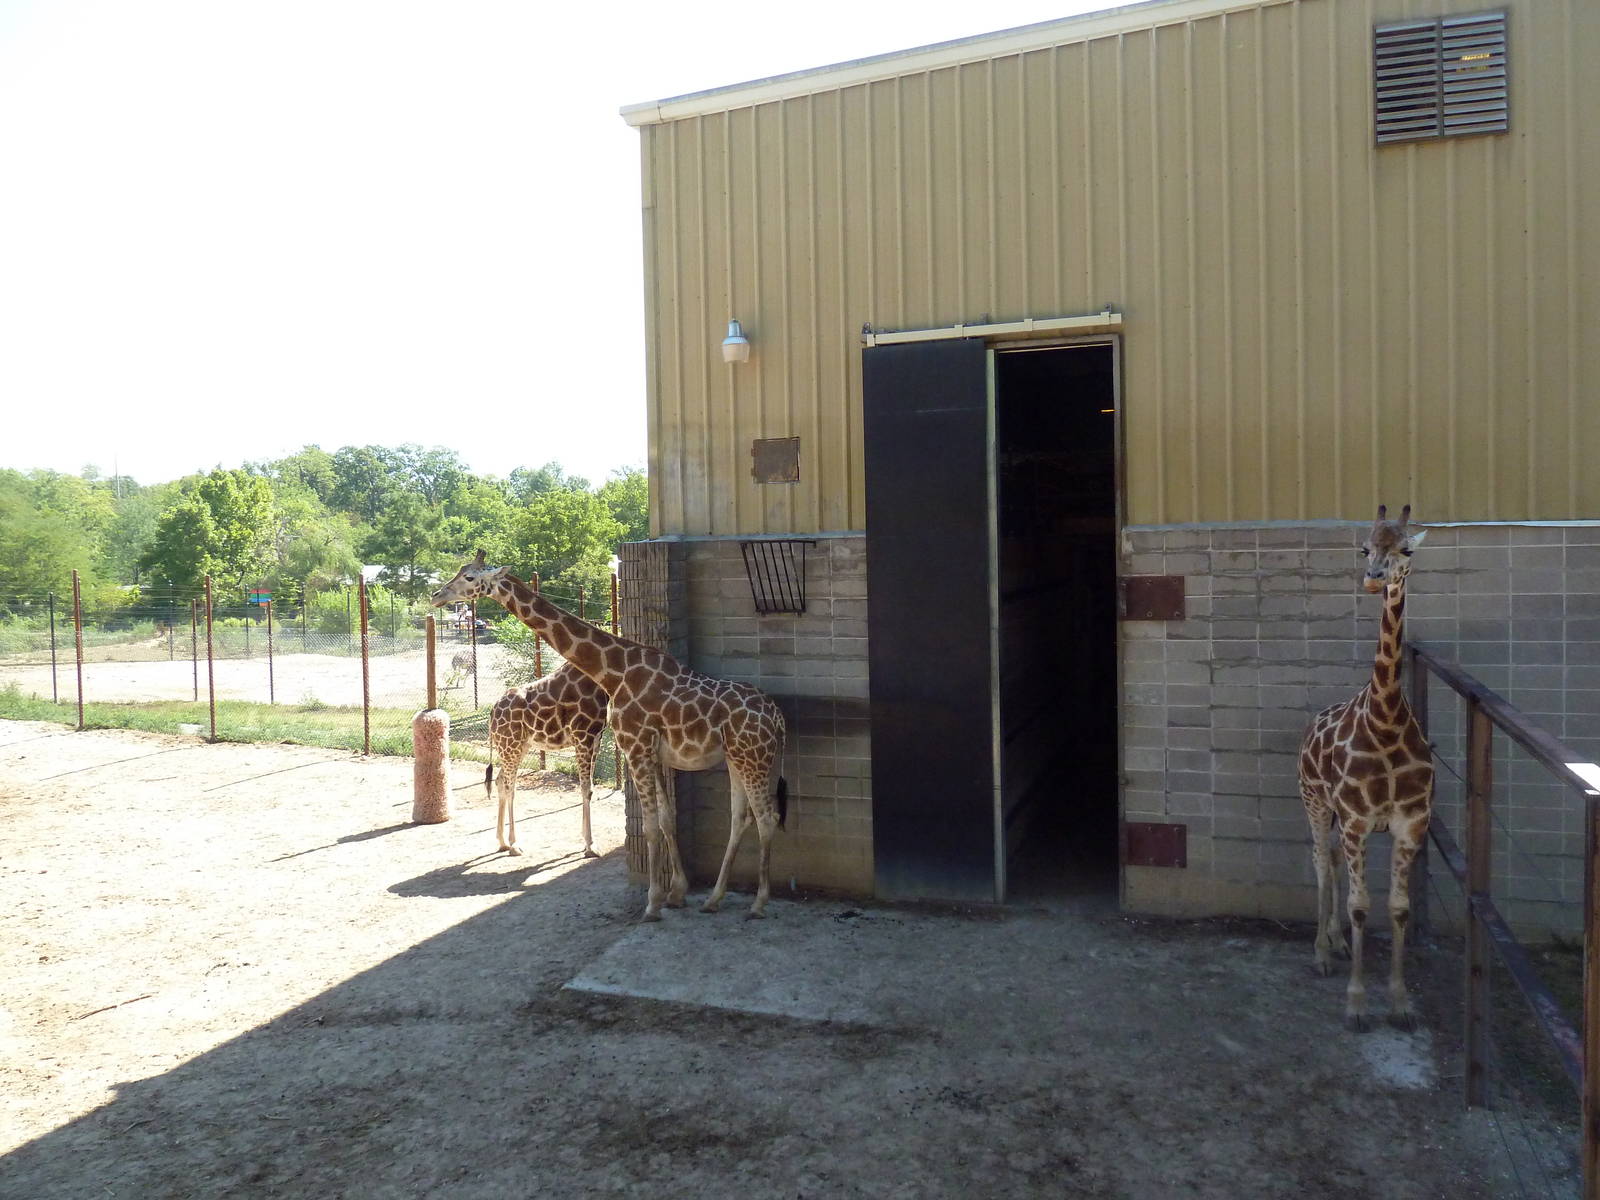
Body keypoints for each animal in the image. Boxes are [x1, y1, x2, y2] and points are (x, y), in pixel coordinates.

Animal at [484, 661, 609, 859]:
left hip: (518, 747)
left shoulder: (597, 738)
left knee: (499, 780)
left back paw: (502, 842)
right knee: (510, 787)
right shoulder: (583, 736)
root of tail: (492, 711)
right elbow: (586, 789)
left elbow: (589, 788)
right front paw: (590, 845)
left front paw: (586, 842)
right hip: (510, 745)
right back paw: (514, 844)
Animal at [1299, 504, 1434, 1032]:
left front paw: (1399, 1003)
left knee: (1334, 859)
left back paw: (1334, 943)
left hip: (1339, 815)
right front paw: (1356, 1005)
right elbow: (1361, 907)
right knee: (1320, 860)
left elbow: (1397, 909)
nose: (1375, 579)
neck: (1387, 721)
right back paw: (1320, 952)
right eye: (1364, 548)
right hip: (1316, 802)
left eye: (1407, 550)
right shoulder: (1357, 819)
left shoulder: (1410, 823)